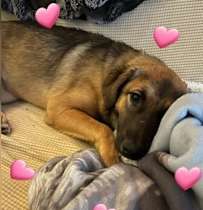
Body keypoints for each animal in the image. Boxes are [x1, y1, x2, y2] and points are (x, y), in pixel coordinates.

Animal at [1, 21, 187, 166]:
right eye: (135, 97)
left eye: (164, 114)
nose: (133, 152)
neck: (104, 74)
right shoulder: (59, 109)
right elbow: (103, 128)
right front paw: (112, 158)